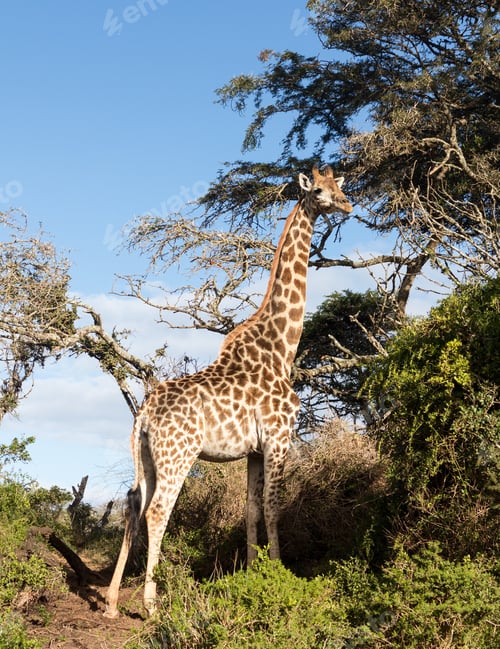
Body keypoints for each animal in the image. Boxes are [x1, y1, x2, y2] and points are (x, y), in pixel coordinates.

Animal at [104, 165, 353, 618]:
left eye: (339, 186)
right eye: (320, 191)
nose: (347, 204)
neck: (282, 347)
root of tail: (144, 413)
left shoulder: (254, 449)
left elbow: (251, 510)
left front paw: (253, 574)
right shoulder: (279, 438)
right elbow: (273, 507)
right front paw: (280, 575)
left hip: (145, 456)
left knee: (132, 505)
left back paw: (113, 603)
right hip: (178, 455)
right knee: (158, 511)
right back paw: (151, 604)